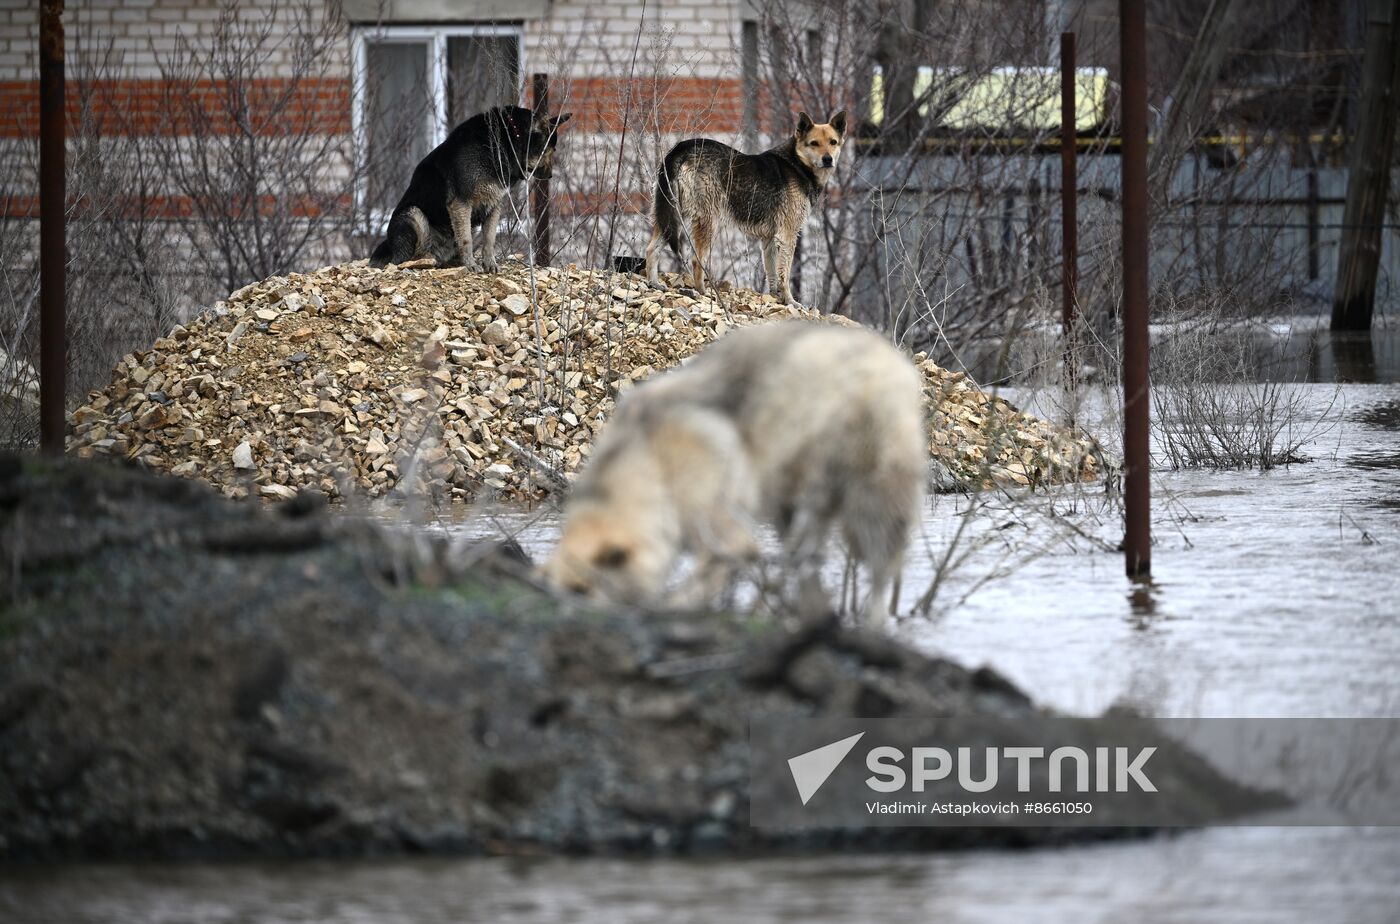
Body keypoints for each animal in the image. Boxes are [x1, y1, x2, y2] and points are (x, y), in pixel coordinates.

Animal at [372, 106, 574, 270]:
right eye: (550, 151)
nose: (550, 176)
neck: (504, 140)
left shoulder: (494, 205)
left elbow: (489, 239)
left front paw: (490, 264)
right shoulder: (461, 203)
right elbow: (466, 239)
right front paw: (470, 265)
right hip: (412, 214)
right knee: (410, 257)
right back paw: (427, 259)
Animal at [546, 320, 929, 624]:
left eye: (581, 592)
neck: (650, 463)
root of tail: (893, 358)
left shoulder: (725, 535)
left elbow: (698, 586)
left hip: (860, 500)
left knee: (878, 576)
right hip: (796, 507)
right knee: (807, 566)